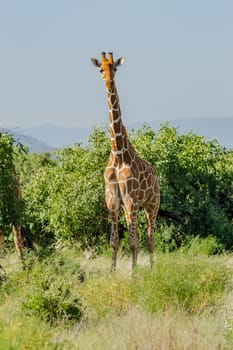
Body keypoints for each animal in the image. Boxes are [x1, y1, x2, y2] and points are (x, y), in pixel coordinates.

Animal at [91, 52, 160, 270]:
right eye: (101, 69)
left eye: (115, 68)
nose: (109, 81)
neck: (119, 154)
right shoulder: (112, 201)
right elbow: (114, 241)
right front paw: (112, 272)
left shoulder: (130, 199)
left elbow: (133, 242)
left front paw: (133, 274)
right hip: (134, 207)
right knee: (142, 236)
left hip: (151, 204)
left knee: (149, 237)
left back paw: (153, 269)